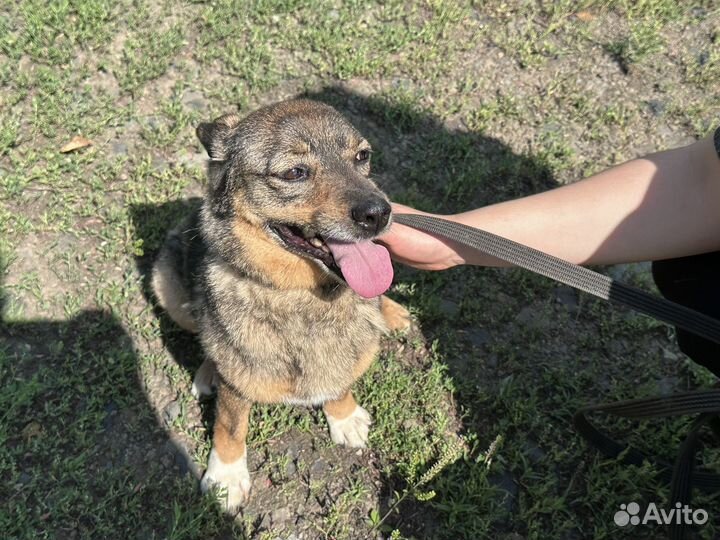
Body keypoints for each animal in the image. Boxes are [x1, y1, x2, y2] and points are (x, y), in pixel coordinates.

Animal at [152, 98, 410, 510]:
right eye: (294, 172)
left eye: (362, 156)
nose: (379, 213)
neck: (302, 295)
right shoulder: (235, 386)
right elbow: (230, 425)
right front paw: (226, 475)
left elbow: (339, 379)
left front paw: (343, 415)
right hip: (169, 290)